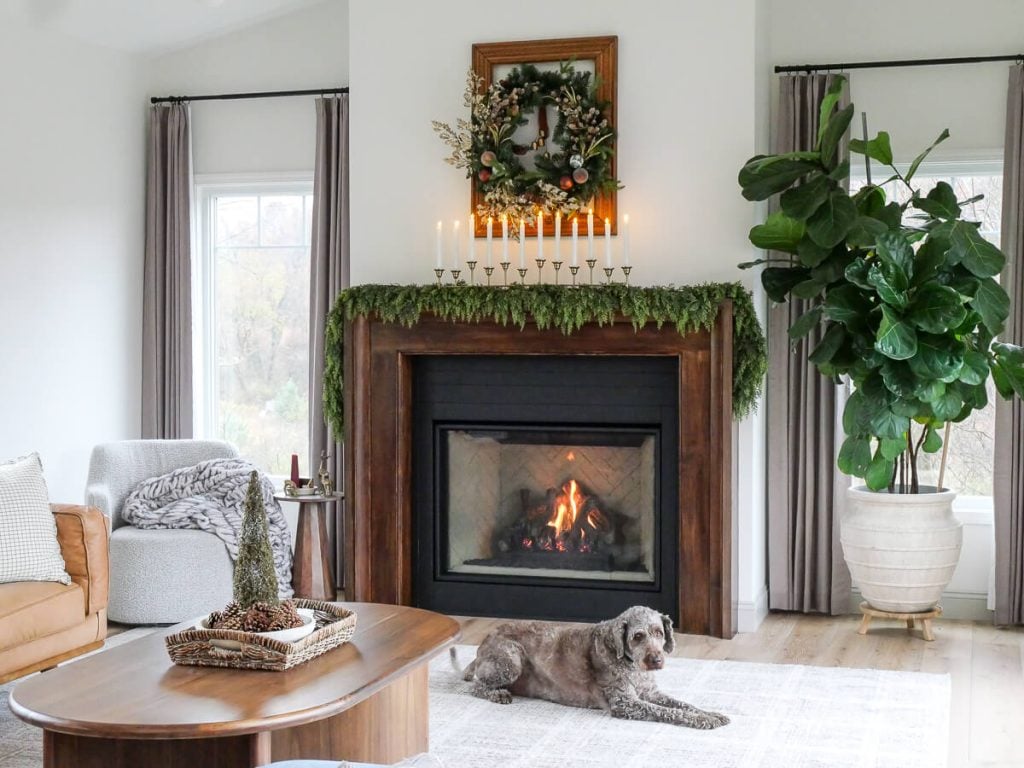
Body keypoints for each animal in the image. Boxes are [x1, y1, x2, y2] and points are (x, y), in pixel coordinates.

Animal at [454, 606, 729, 729]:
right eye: (638, 636)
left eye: (658, 633)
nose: (656, 660)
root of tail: (484, 642)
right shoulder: (626, 704)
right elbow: (668, 712)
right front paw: (703, 720)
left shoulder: (651, 693)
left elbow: (683, 704)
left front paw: (711, 714)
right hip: (511, 659)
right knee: (476, 685)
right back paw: (497, 693)